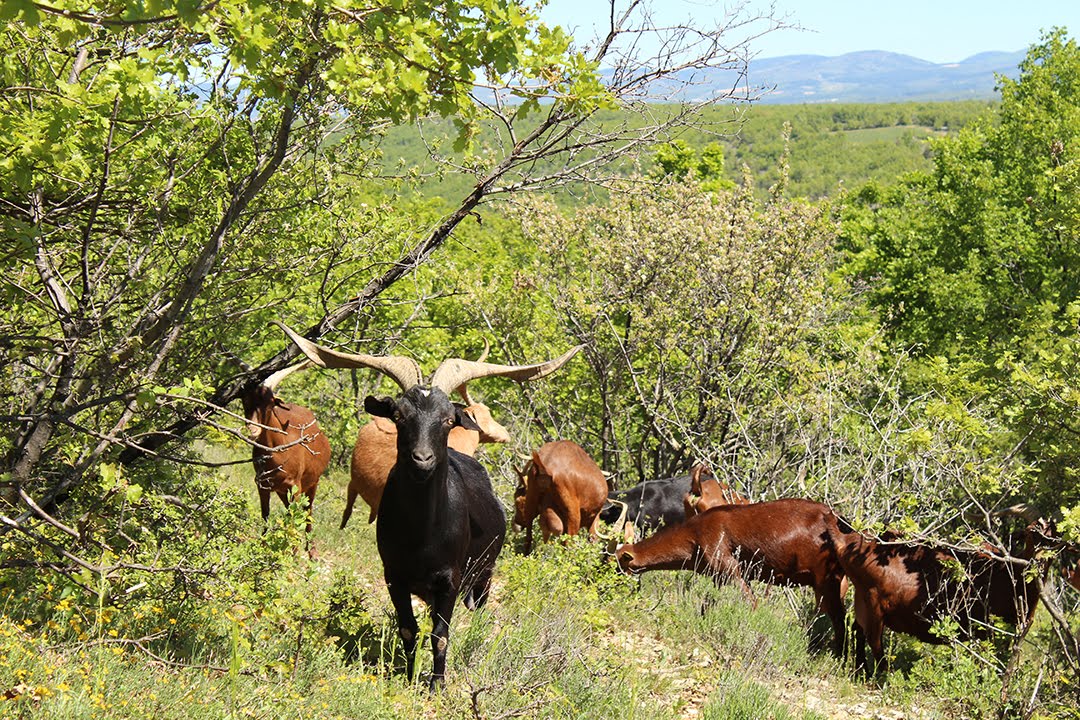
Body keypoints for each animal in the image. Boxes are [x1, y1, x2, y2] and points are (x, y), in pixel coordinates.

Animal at [240, 360, 330, 539]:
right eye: (246, 400)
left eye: (269, 403)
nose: (254, 430)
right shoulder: (263, 486)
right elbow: (265, 517)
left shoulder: (295, 487)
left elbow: (293, 521)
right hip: (282, 491)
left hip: (313, 483)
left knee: (308, 515)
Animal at [277, 321, 579, 690]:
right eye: (398, 415)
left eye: (449, 419)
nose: (422, 458)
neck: (423, 533)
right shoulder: (394, 576)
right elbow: (409, 629)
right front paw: (409, 678)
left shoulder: (450, 580)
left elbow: (441, 635)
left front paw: (437, 685)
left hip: (484, 575)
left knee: (476, 612)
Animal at [615, 499, 848, 656]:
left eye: (617, 566)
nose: (611, 588)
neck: (694, 533)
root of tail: (840, 521)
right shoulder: (718, 577)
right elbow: (707, 605)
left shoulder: (731, 568)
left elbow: (751, 603)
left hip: (827, 579)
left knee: (838, 616)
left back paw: (838, 656)